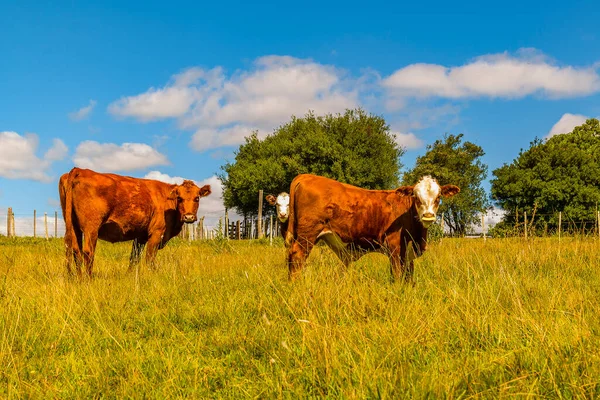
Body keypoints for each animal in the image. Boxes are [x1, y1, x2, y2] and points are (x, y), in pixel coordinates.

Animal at [58, 167, 209, 276]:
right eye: (180, 198)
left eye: (197, 198)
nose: (188, 217)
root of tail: (79, 170)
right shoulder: (156, 232)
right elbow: (149, 258)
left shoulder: (140, 236)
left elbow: (134, 258)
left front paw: (130, 275)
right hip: (91, 229)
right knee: (88, 253)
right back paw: (88, 279)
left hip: (73, 226)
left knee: (76, 251)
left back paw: (79, 278)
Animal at [286, 174, 460, 282]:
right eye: (416, 197)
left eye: (438, 197)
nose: (428, 216)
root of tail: (306, 176)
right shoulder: (395, 247)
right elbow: (397, 275)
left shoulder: (408, 252)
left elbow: (409, 275)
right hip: (307, 234)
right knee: (297, 257)